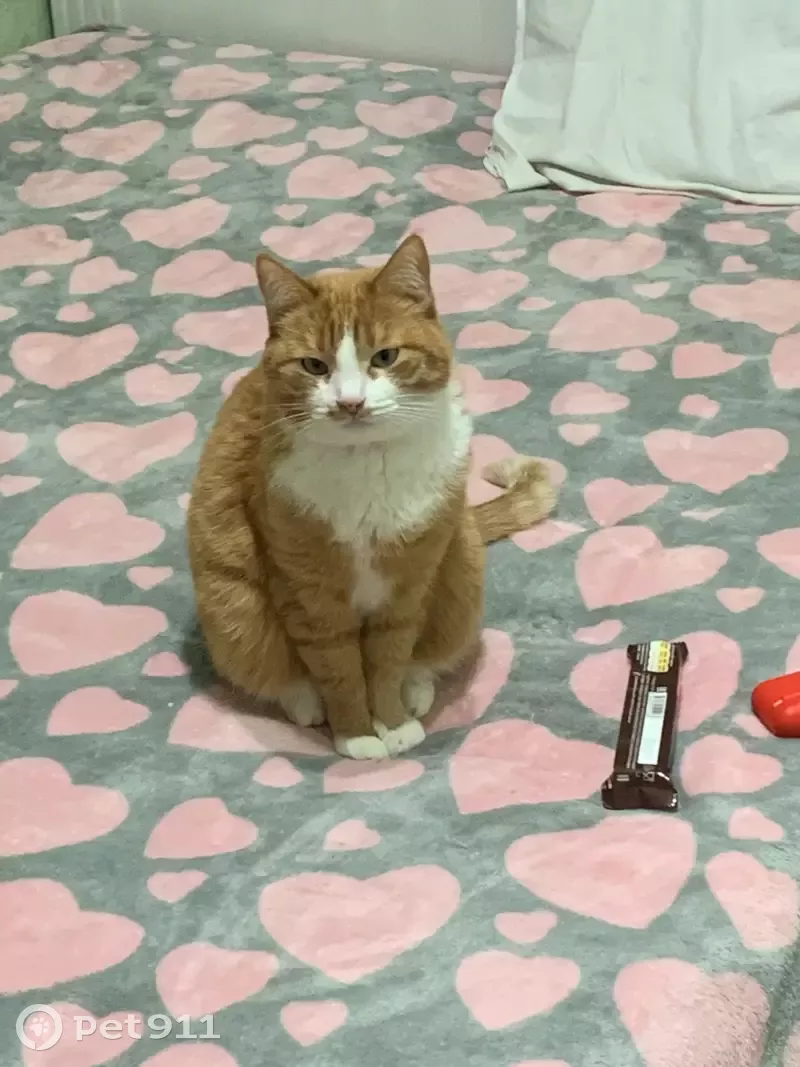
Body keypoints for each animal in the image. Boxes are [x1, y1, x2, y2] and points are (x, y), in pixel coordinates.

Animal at [187, 235, 556, 760]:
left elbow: (388, 661)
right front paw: (356, 733)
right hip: (232, 605)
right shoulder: (311, 597)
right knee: (274, 671)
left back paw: (415, 690)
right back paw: (306, 702)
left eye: (385, 357)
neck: (367, 468)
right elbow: (339, 671)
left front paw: (391, 721)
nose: (351, 403)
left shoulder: (406, 587)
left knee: (427, 655)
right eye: (314, 365)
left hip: (461, 566)